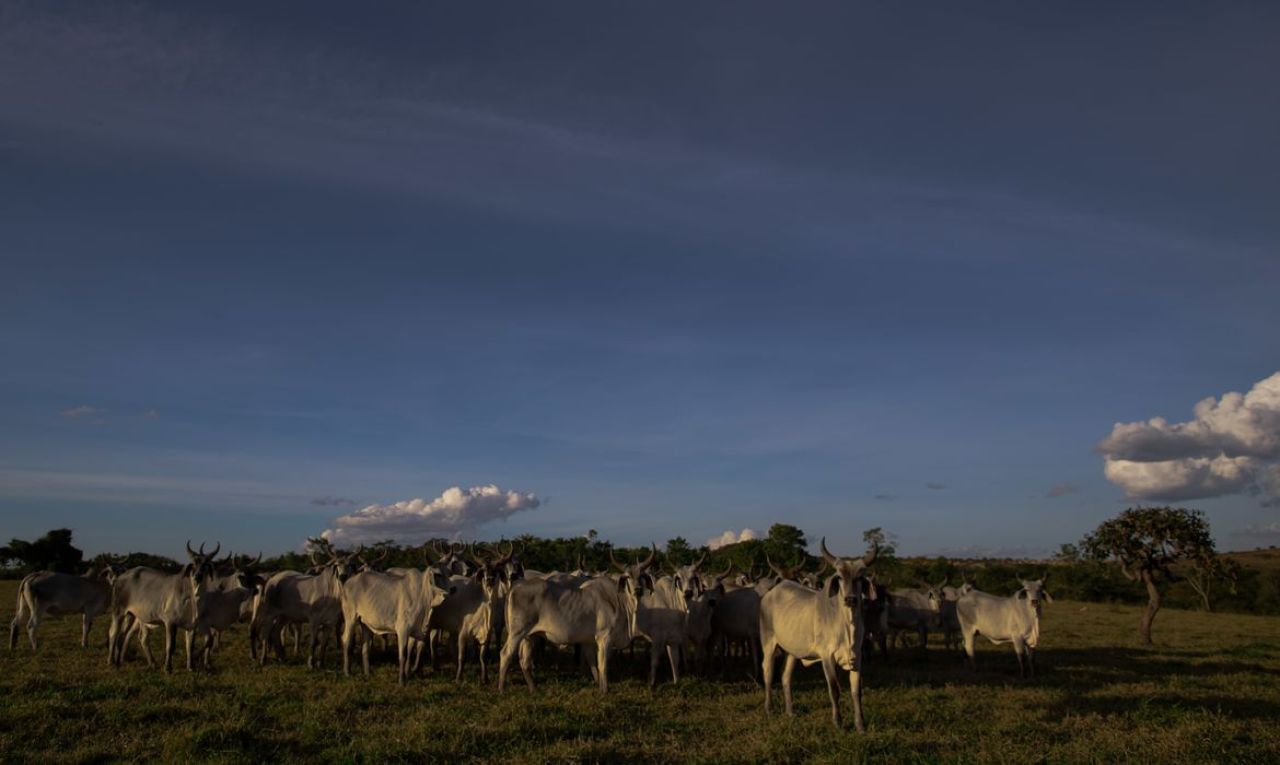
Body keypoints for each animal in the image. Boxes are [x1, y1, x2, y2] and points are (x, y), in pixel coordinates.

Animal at [757, 537, 880, 736]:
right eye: (839, 577)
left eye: (860, 578)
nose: (850, 599)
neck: (846, 625)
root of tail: (772, 592)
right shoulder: (827, 657)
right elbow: (835, 690)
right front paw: (838, 722)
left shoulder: (858, 657)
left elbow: (857, 692)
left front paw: (860, 725)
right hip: (768, 643)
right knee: (767, 672)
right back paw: (769, 708)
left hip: (792, 652)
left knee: (785, 677)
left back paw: (790, 711)